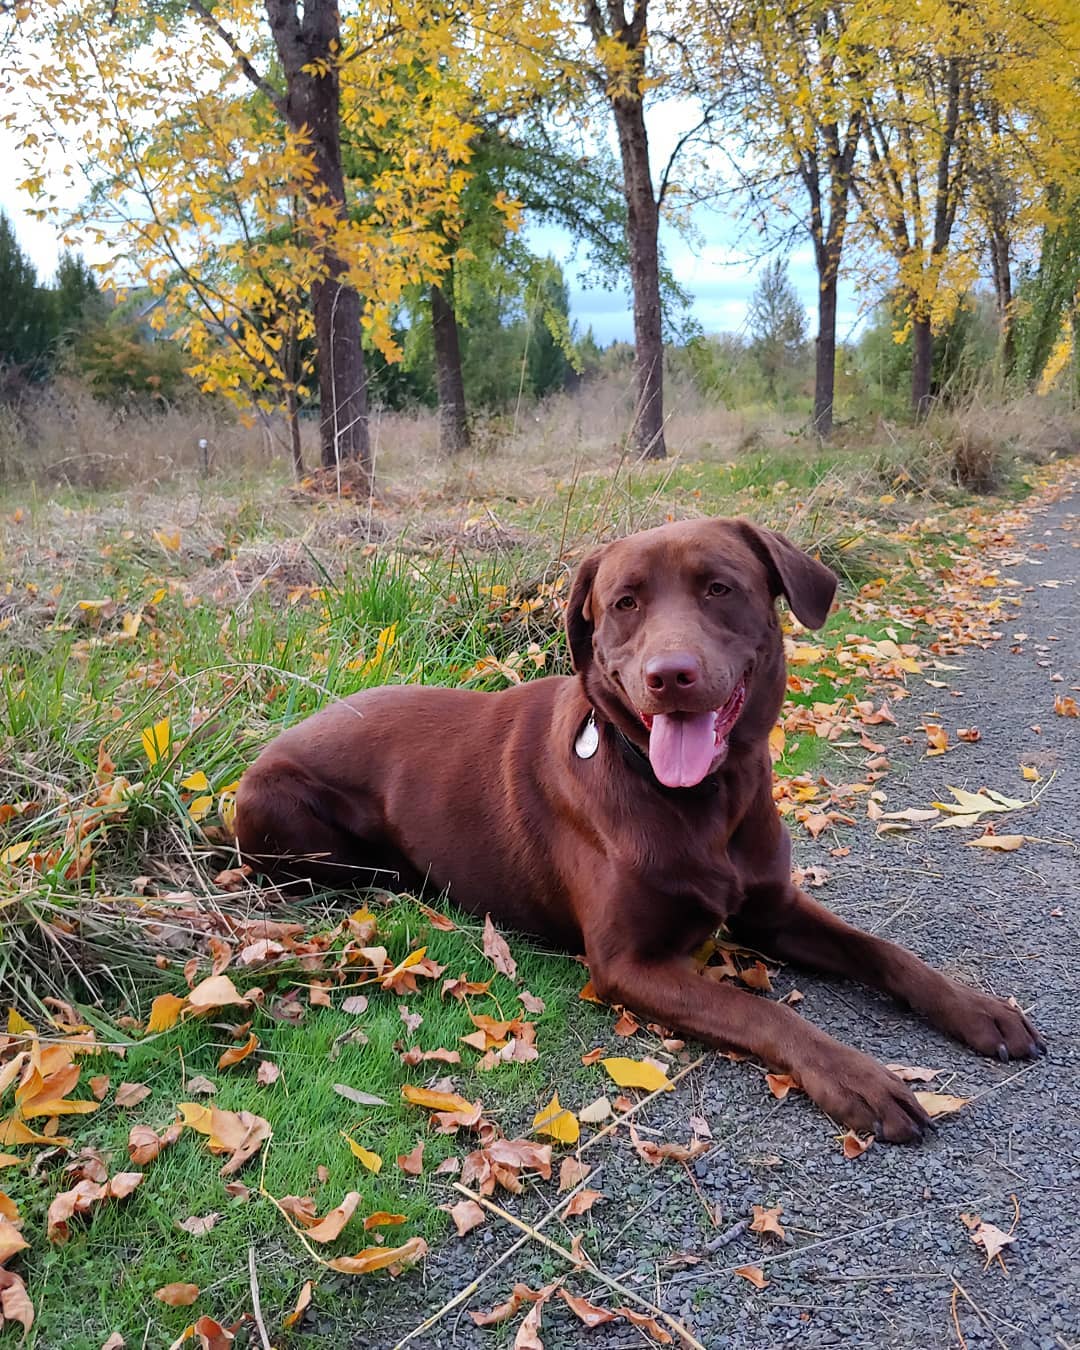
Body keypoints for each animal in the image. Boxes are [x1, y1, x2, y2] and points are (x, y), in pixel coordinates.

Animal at [236, 515, 1047, 1139]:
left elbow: (883, 951)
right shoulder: (629, 965)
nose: (670, 675)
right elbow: (763, 1012)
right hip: (277, 807)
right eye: (624, 603)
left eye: (719, 588)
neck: (703, 799)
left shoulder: (774, 909)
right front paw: (858, 1078)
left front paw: (978, 1009)